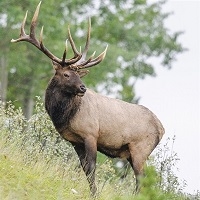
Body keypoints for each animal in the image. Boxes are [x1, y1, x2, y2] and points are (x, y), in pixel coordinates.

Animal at [11, 1, 165, 195]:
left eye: (78, 75)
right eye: (66, 74)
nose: (83, 88)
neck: (65, 116)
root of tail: (162, 129)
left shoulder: (91, 134)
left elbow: (91, 167)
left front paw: (94, 193)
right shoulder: (74, 140)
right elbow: (84, 168)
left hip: (140, 149)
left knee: (142, 179)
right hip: (134, 153)